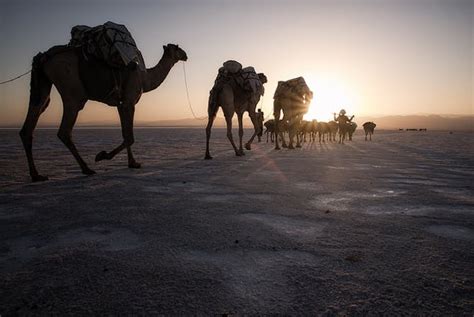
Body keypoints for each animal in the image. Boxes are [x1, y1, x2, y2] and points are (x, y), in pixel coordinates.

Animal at [20, 43, 187, 181]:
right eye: (178, 47)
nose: (186, 55)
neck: (144, 78)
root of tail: (44, 57)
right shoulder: (129, 101)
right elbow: (130, 137)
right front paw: (102, 155)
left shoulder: (121, 104)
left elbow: (126, 134)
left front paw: (132, 163)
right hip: (71, 88)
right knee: (64, 130)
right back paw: (86, 169)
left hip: (43, 85)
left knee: (34, 117)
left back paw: (36, 175)